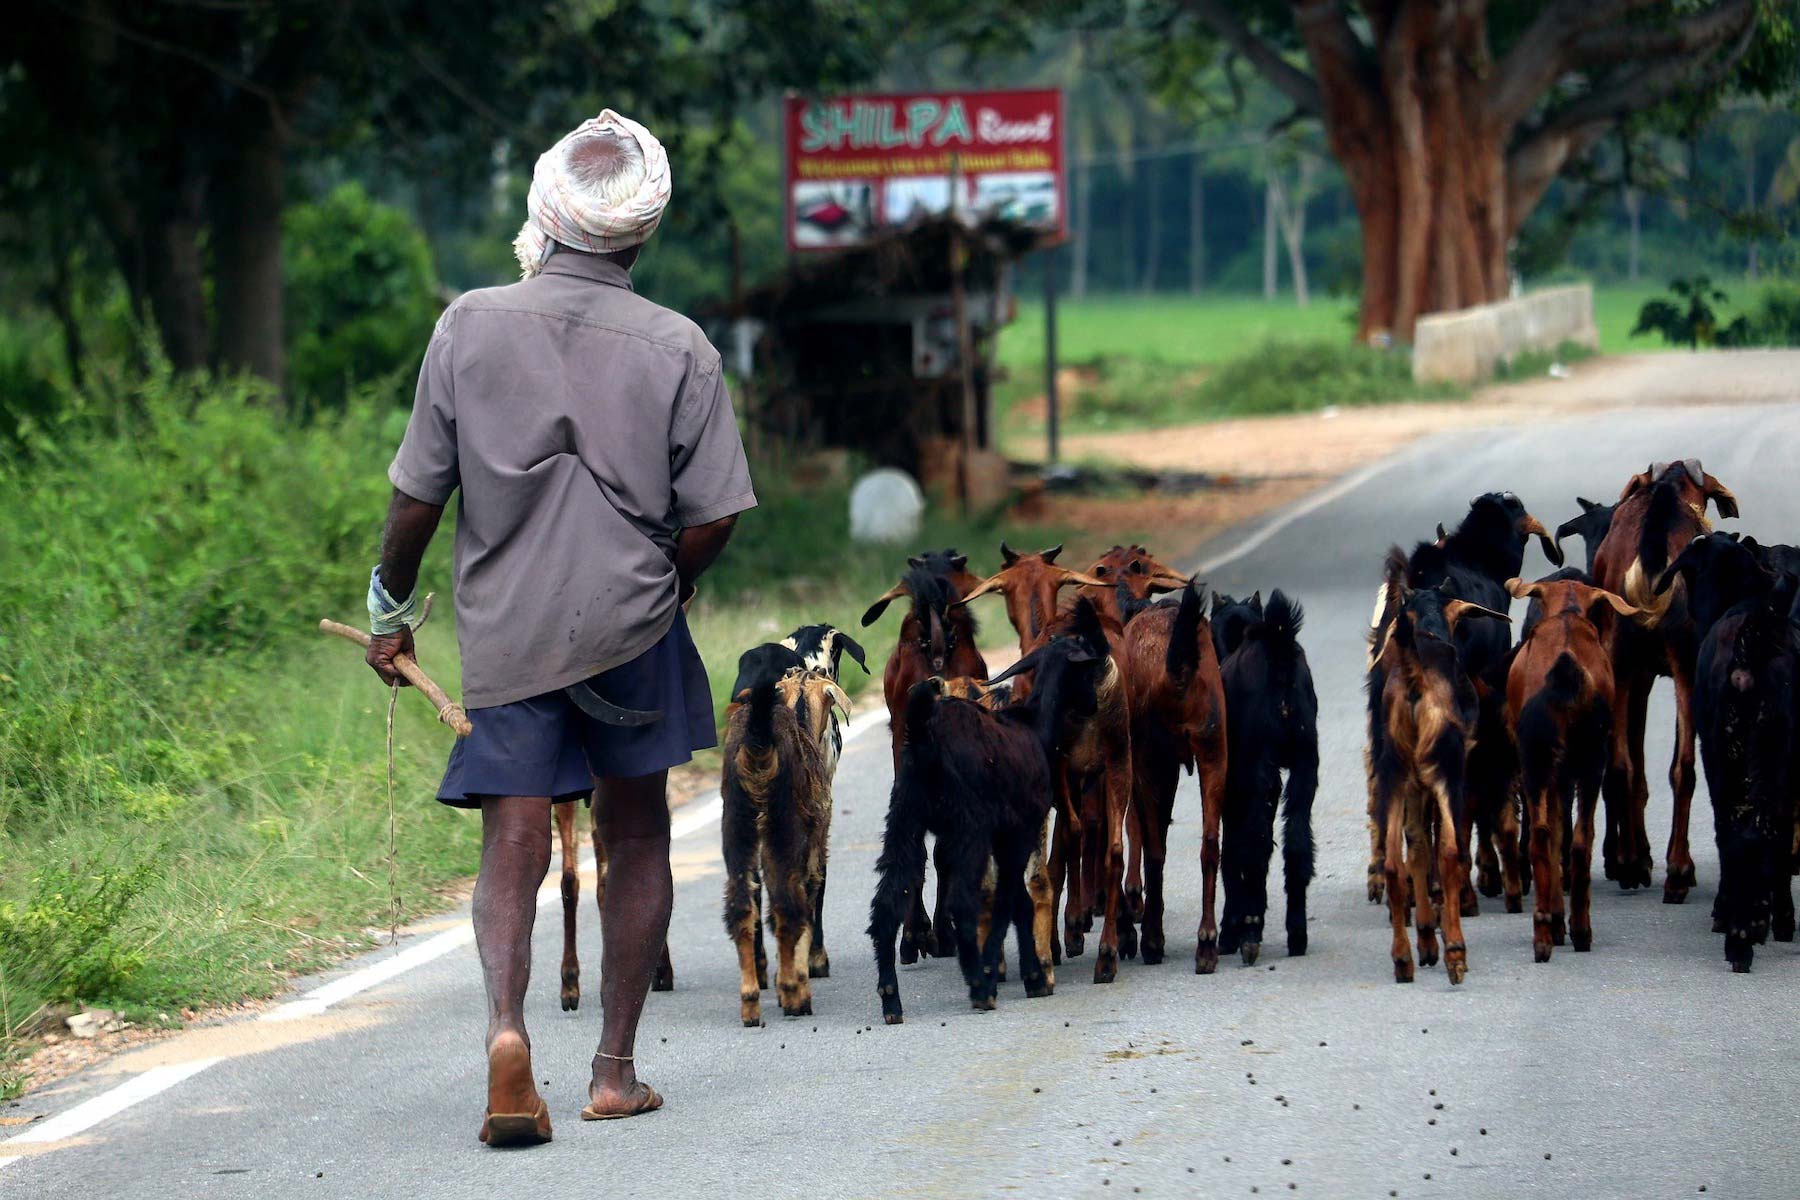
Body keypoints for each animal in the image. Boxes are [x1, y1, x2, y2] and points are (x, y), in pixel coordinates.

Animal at [864, 618, 1101, 1021]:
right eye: (1085, 668)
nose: (1094, 703)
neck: (1034, 724)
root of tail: (925, 741)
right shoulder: (1018, 831)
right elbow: (1009, 899)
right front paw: (1010, 974)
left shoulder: (1003, 838)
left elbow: (1018, 901)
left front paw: (1031, 976)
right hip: (967, 827)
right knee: (962, 903)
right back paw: (977, 986)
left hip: (903, 821)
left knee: (886, 905)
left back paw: (891, 1000)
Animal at [1209, 590, 1324, 964]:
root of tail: (1279, 647)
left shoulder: (1231, 786)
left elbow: (1230, 852)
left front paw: (1229, 932)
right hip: (1305, 764)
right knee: (1297, 842)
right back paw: (1296, 934)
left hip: (1258, 764)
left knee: (1255, 844)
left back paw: (1249, 932)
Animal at [1497, 575, 1641, 964]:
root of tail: (1566, 668)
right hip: (1589, 760)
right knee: (1578, 839)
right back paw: (1575, 928)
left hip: (1537, 761)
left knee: (1543, 835)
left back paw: (1550, 931)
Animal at [1598, 460, 1735, 899]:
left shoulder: (1638, 670)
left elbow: (1635, 761)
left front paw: (1637, 858)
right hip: (1682, 662)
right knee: (1682, 767)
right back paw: (1677, 870)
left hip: (1623, 659)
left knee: (1624, 764)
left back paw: (1630, 865)